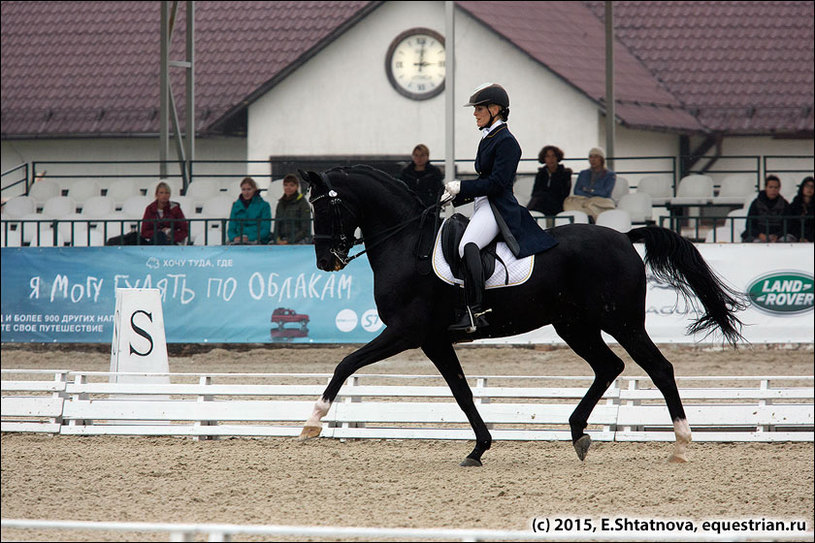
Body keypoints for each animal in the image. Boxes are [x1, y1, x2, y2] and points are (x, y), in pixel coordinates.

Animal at [298, 167, 744, 468]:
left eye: (326, 209)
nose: (325, 262)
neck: (408, 247)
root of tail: (622, 235)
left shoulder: (407, 332)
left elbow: (346, 363)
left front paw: (312, 422)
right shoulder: (434, 340)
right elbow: (462, 392)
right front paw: (479, 449)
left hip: (623, 322)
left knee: (658, 368)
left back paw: (681, 445)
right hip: (574, 325)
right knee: (609, 366)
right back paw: (578, 432)